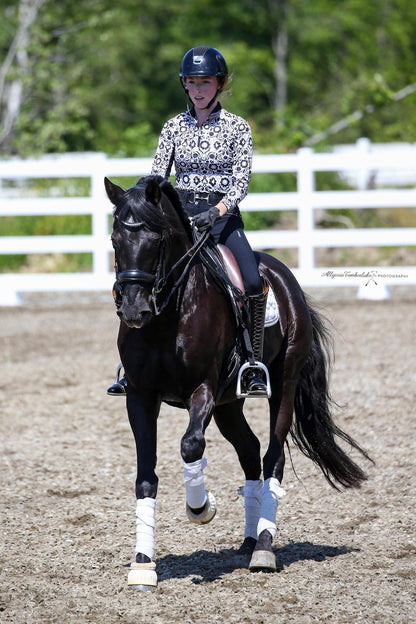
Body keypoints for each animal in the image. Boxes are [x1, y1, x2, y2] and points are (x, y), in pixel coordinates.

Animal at [105, 177, 372, 588]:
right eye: (116, 238)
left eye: (156, 238)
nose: (134, 310)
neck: (167, 316)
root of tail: (282, 274)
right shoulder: (140, 397)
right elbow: (145, 475)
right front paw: (143, 564)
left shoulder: (202, 390)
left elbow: (191, 446)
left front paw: (202, 507)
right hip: (229, 404)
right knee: (250, 451)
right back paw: (247, 542)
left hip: (282, 384)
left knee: (272, 456)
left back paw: (263, 548)